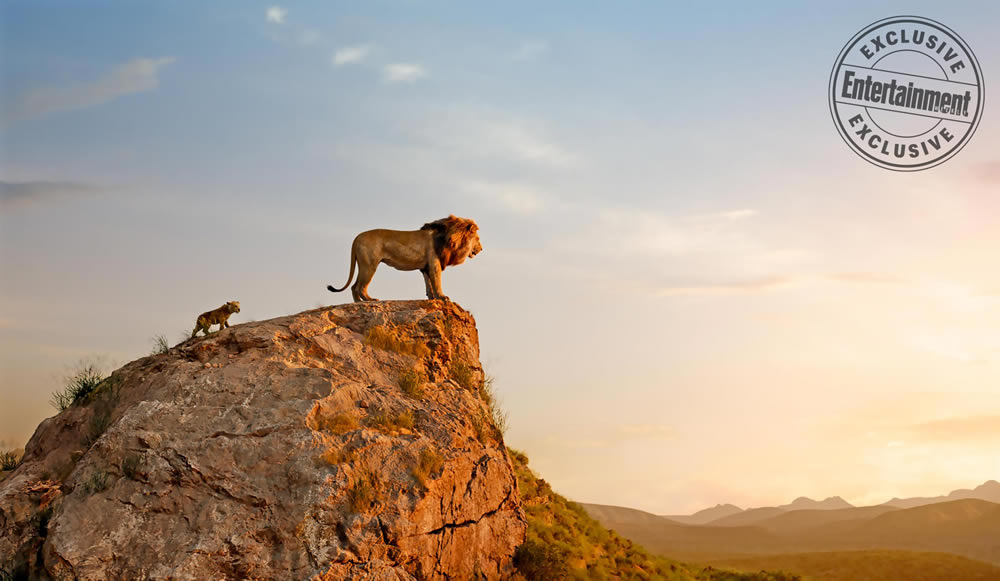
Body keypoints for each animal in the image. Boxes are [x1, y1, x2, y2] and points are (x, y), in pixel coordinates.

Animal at [327, 215, 482, 302]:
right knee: (360, 287)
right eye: (478, 239)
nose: (481, 249)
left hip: (363, 264)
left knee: (354, 287)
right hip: (370, 265)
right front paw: (442, 297)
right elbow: (437, 282)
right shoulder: (434, 263)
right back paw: (370, 300)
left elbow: (429, 284)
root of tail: (357, 238)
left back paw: (358, 303)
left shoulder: (426, 267)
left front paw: (432, 298)